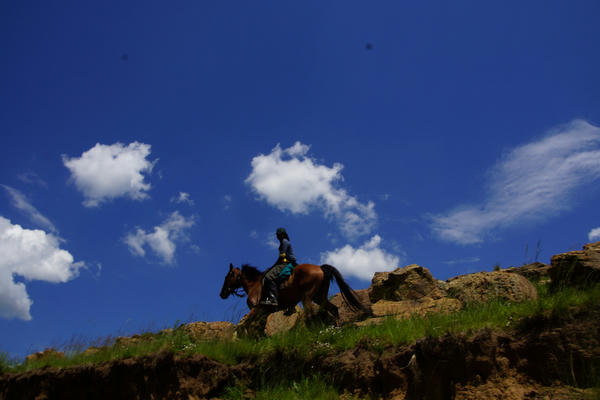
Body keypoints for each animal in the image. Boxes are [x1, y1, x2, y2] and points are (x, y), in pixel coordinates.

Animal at [219, 262, 366, 318]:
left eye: (227, 277)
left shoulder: (256, 309)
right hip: (319, 297)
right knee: (334, 309)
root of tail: (320, 267)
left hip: (307, 297)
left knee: (310, 315)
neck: (254, 285)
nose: (222, 294)